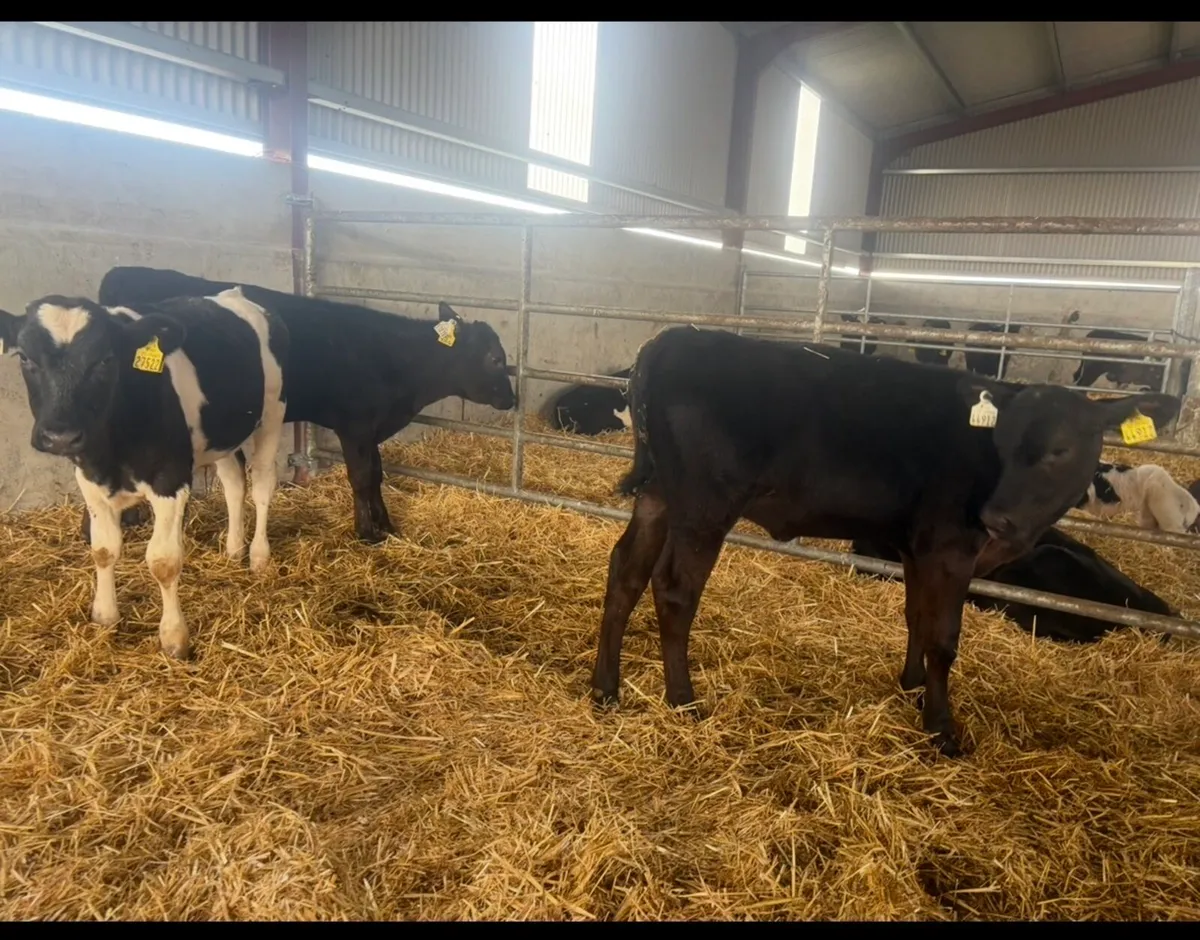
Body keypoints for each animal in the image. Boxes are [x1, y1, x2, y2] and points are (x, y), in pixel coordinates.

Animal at [0, 290, 289, 660]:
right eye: (25, 357)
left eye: (106, 360)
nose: (60, 436)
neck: (112, 453)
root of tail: (234, 294)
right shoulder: (89, 478)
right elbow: (103, 548)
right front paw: (105, 615)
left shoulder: (171, 478)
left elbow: (163, 561)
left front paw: (174, 637)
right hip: (220, 434)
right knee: (234, 482)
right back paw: (234, 548)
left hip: (273, 411)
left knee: (263, 483)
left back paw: (258, 556)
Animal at [96, 267, 516, 544]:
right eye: (496, 358)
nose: (511, 399)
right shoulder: (355, 424)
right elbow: (362, 477)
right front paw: (367, 532)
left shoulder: (372, 427)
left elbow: (377, 474)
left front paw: (386, 524)